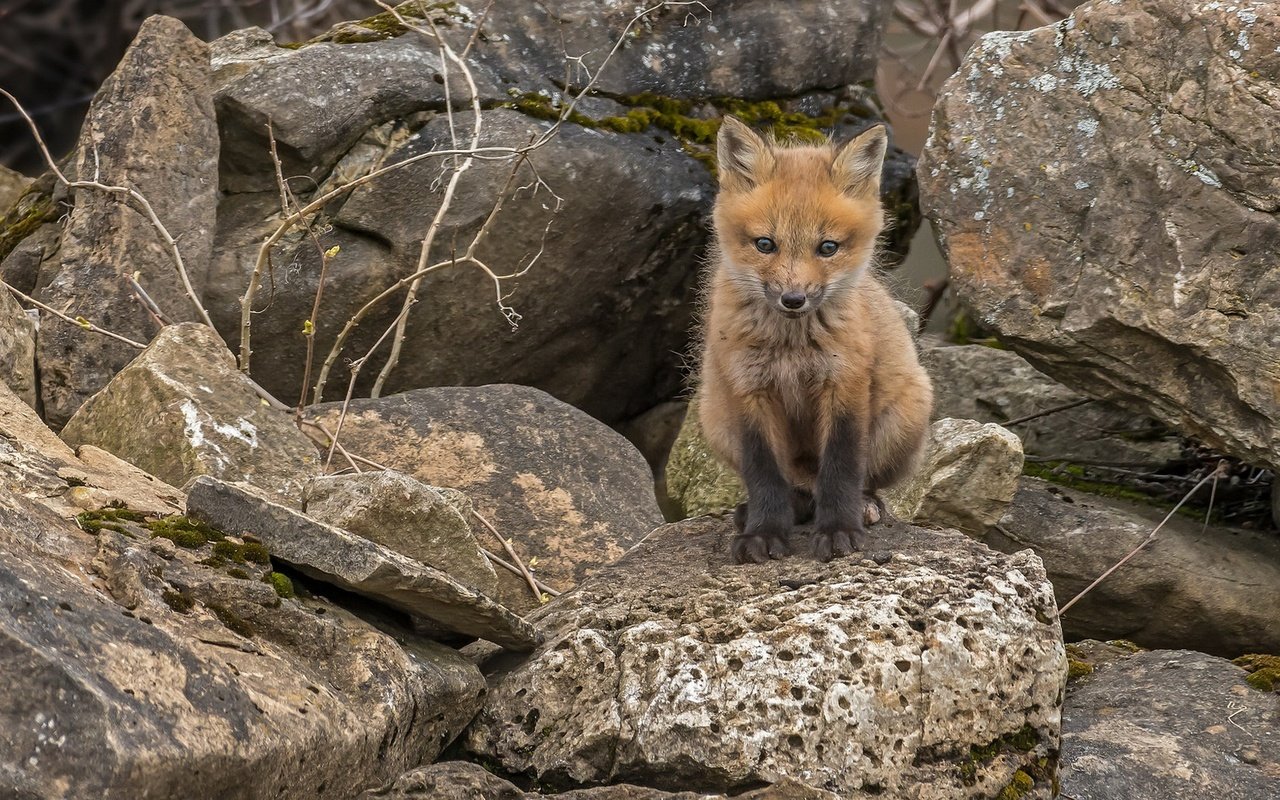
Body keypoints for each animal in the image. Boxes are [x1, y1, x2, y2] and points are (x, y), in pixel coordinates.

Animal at [696, 117, 936, 560]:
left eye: (827, 247)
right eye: (765, 244)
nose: (793, 299)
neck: (792, 348)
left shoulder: (844, 382)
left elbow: (841, 468)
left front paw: (839, 529)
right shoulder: (748, 389)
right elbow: (764, 474)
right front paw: (764, 533)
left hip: (906, 415)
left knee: (858, 481)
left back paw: (863, 506)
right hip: (715, 419)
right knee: (796, 487)